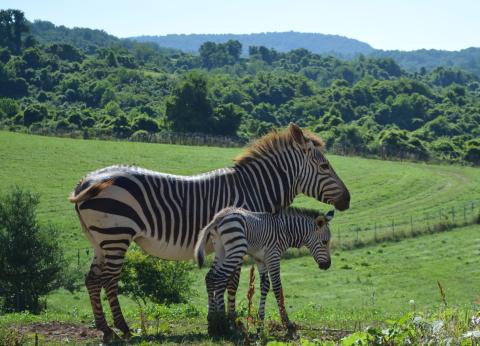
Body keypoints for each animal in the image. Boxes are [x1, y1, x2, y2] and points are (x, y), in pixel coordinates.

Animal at [194, 207, 334, 328]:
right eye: (324, 242)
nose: (327, 265)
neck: (286, 231)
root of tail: (220, 216)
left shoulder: (260, 259)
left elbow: (265, 286)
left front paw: (260, 318)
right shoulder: (273, 257)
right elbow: (277, 287)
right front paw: (286, 321)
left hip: (221, 250)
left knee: (210, 276)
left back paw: (212, 316)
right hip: (237, 249)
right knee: (220, 277)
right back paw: (223, 319)